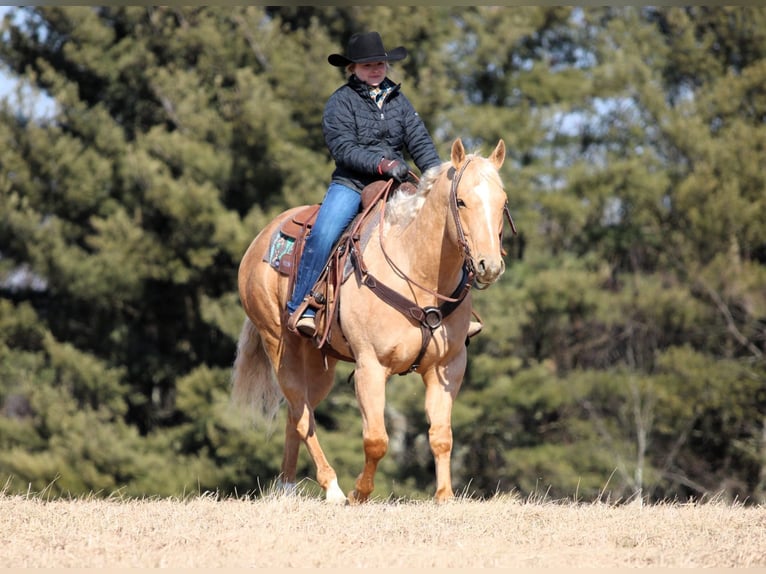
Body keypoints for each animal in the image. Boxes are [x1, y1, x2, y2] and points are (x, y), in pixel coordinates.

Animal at [231, 138, 512, 504]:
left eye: (502, 202)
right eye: (461, 201)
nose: (488, 265)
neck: (415, 268)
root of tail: (260, 239)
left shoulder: (447, 367)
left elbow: (441, 436)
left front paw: (445, 497)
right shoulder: (371, 366)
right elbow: (376, 440)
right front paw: (359, 493)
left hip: (318, 362)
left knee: (296, 412)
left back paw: (287, 488)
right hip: (279, 344)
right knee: (302, 413)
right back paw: (333, 489)